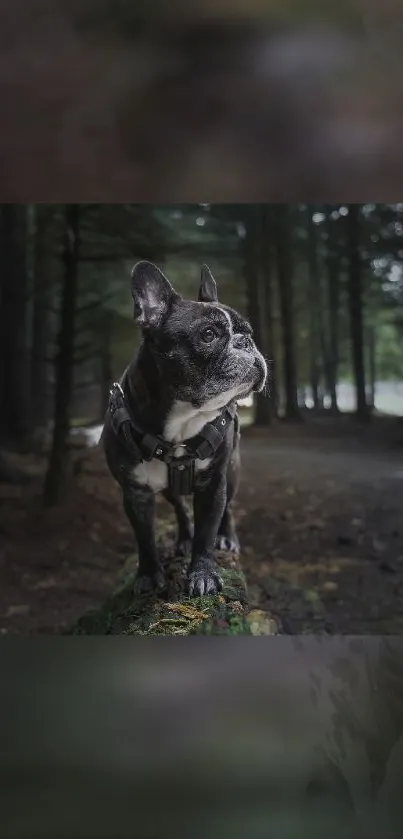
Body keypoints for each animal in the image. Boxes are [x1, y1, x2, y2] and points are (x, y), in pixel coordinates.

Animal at [102, 262, 268, 596]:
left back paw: (226, 537)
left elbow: (207, 532)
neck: (181, 424)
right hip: (168, 489)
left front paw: (203, 574)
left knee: (228, 508)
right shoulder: (135, 493)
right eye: (208, 335)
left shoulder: (213, 483)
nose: (246, 342)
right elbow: (145, 539)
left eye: (248, 332)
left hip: (232, 470)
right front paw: (148, 575)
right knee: (179, 506)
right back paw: (183, 539)